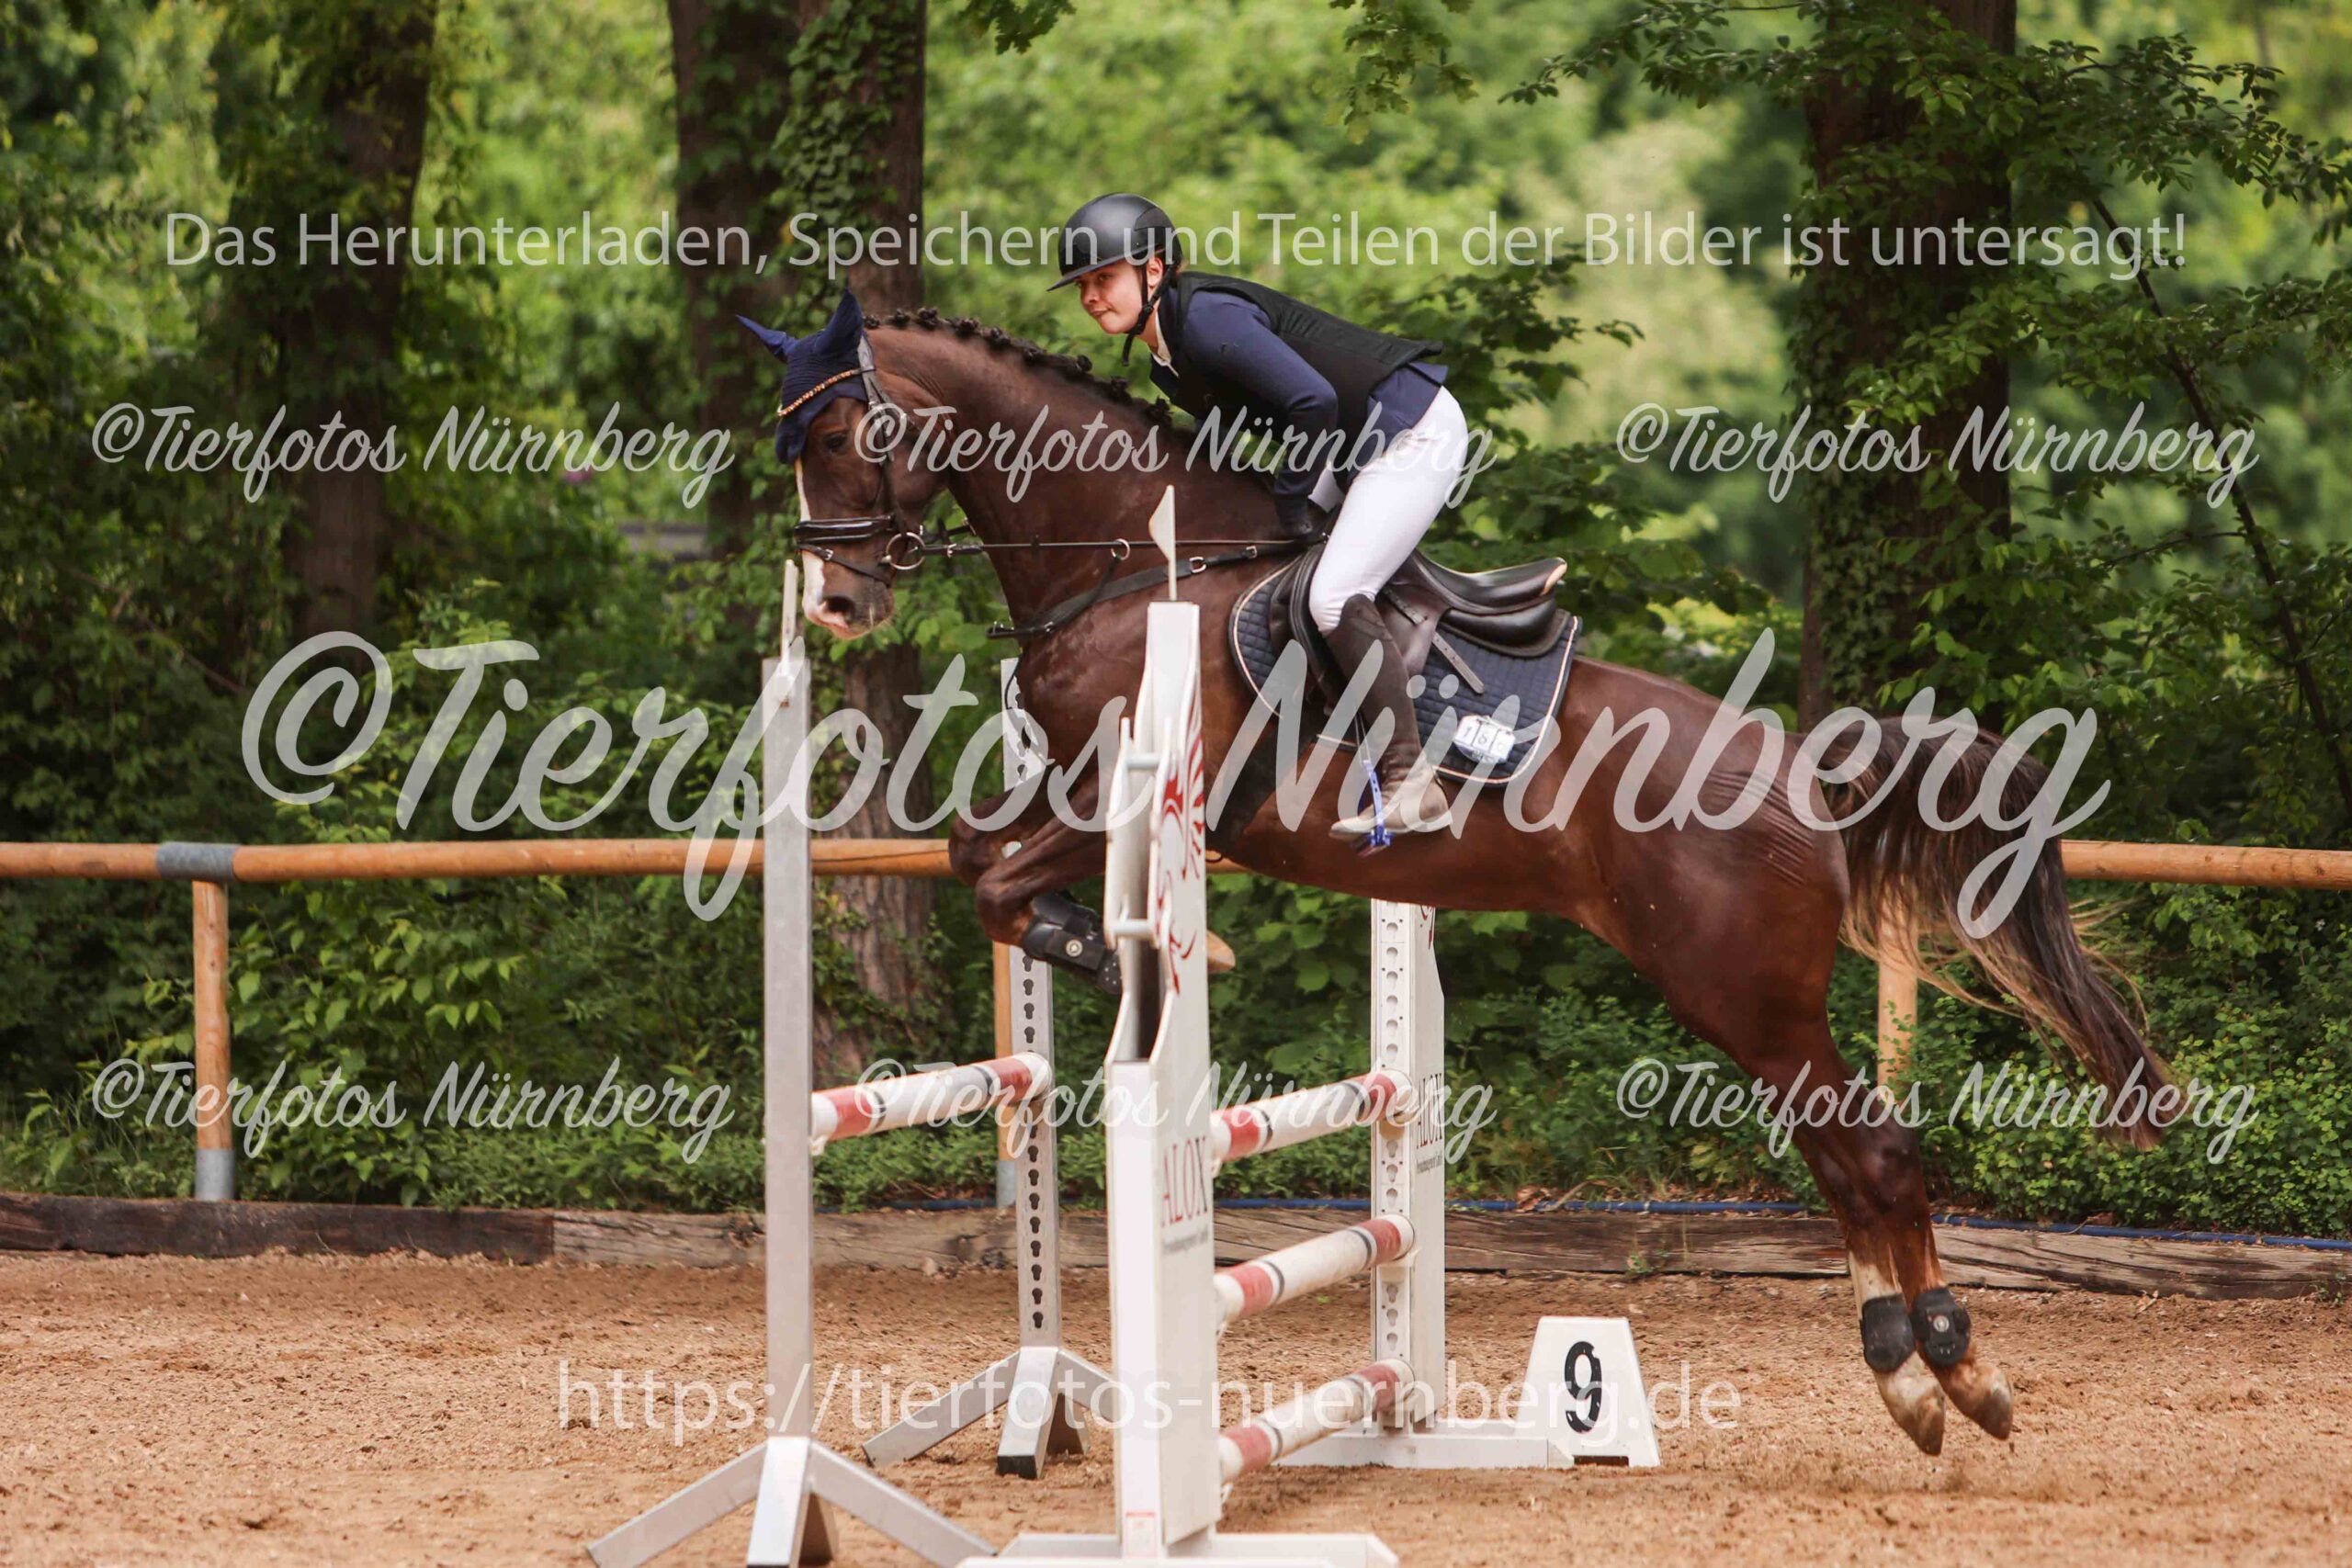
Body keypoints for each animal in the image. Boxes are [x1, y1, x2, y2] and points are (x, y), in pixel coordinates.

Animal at [760, 298, 2168, 1456]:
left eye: (848, 431)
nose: (834, 603)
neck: (1129, 560)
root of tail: (1802, 773)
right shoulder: (1066, 786)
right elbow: (974, 858)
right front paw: (1110, 950)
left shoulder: (1140, 793)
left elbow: (1001, 876)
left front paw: (1140, 956)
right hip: (1749, 1003)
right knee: (1844, 1155)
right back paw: (1915, 1368)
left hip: (1741, 994)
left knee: (1869, 1150)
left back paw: (1948, 1374)